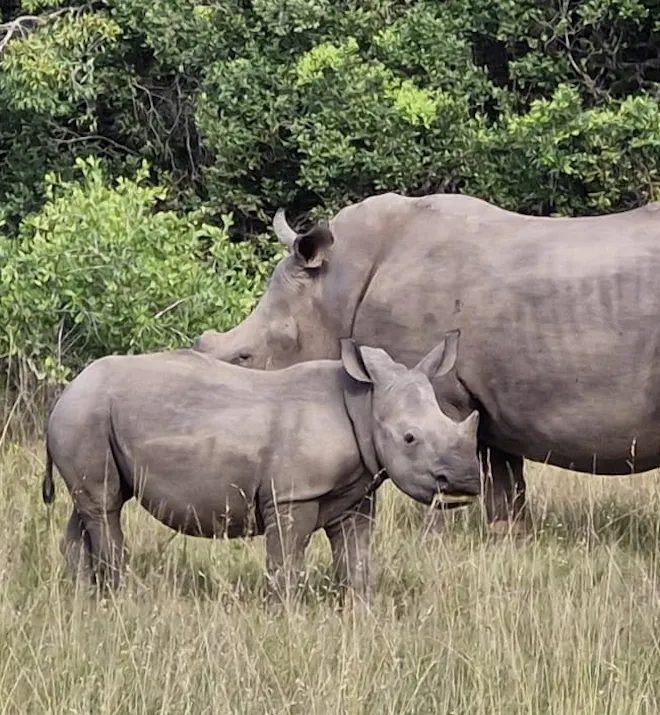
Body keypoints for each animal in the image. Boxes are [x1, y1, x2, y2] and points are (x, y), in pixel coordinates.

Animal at [43, 334, 480, 605]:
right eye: (409, 438)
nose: (465, 481)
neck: (364, 401)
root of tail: (66, 391)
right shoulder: (292, 495)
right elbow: (285, 563)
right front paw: (284, 617)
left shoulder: (356, 494)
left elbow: (356, 561)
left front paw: (359, 613)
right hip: (85, 413)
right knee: (104, 506)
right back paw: (122, 598)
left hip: (91, 415)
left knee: (96, 503)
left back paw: (85, 599)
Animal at [193, 192, 660, 534]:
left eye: (245, 357)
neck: (332, 288)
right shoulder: (490, 403)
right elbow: (503, 486)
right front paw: (508, 542)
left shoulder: (435, 387)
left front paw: (434, 539)